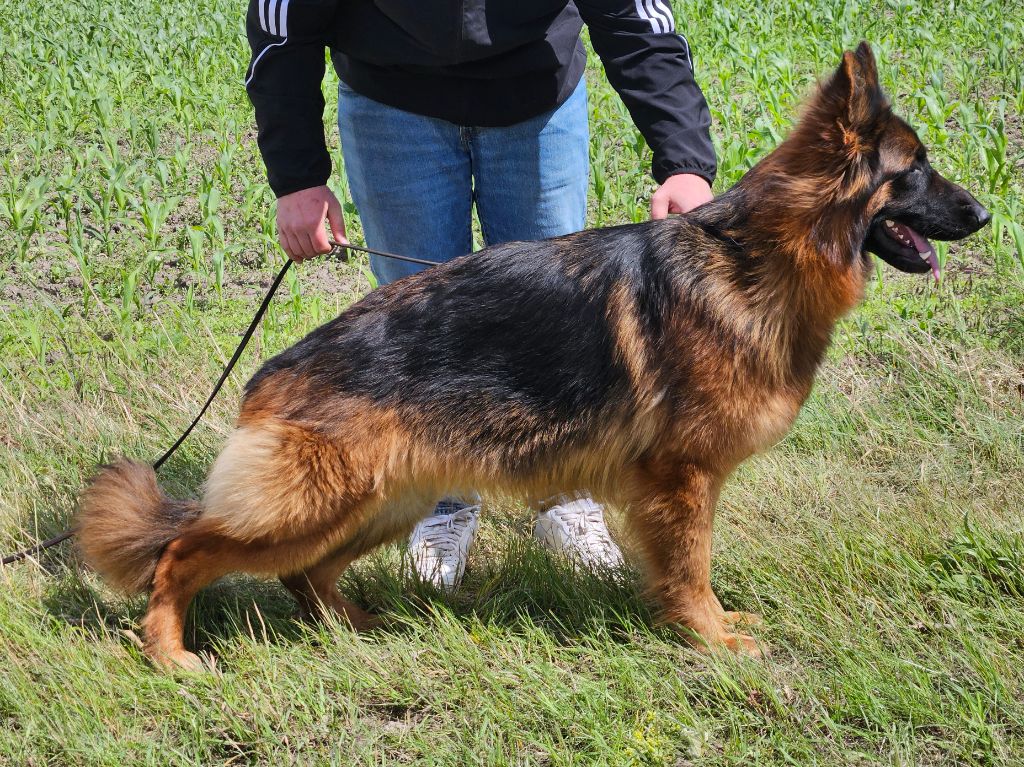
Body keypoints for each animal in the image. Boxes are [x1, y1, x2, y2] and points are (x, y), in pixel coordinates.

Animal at [76, 42, 990, 670]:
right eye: (914, 171)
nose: (984, 214)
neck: (757, 254)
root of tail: (271, 373)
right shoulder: (681, 481)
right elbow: (692, 567)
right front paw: (711, 637)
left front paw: (711, 628)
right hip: (313, 503)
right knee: (182, 552)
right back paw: (171, 652)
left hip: (380, 501)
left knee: (302, 573)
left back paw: (354, 627)